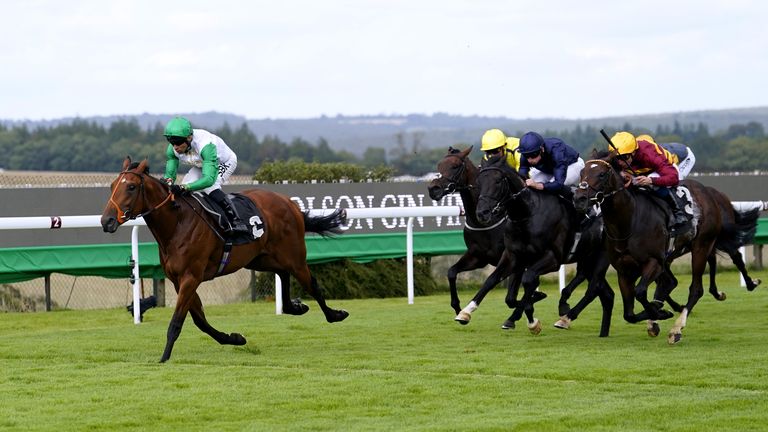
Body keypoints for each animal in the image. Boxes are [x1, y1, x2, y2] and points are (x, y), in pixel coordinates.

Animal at [100, 157, 350, 362]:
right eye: (112, 186)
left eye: (131, 187)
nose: (106, 221)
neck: (177, 224)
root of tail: (290, 203)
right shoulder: (179, 280)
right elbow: (199, 320)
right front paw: (235, 338)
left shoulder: (191, 277)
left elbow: (177, 321)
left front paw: (163, 358)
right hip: (259, 258)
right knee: (282, 274)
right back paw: (296, 307)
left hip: (294, 256)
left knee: (312, 283)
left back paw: (336, 314)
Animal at [452, 154, 616, 336]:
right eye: (479, 182)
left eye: (498, 181)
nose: (482, 213)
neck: (526, 214)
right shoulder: (512, 256)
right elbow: (494, 283)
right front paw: (466, 311)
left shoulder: (551, 259)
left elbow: (528, 281)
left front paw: (532, 319)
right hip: (587, 257)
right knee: (605, 293)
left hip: (601, 256)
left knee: (594, 287)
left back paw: (565, 315)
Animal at [572, 152, 760, 344]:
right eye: (581, 172)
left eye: (602, 174)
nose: (579, 199)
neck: (629, 222)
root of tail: (709, 193)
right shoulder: (624, 270)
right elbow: (629, 314)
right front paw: (657, 314)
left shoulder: (654, 262)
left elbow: (640, 292)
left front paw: (661, 313)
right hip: (676, 255)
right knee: (673, 281)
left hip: (701, 246)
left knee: (697, 288)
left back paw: (677, 329)